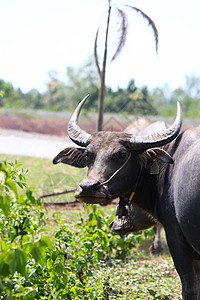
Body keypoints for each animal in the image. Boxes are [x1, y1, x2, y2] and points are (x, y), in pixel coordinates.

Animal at [52, 95, 200, 298]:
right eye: (89, 154)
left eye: (122, 154)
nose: (89, 188)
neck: (166, 169)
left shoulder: (177, 237)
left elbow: (190, 288)